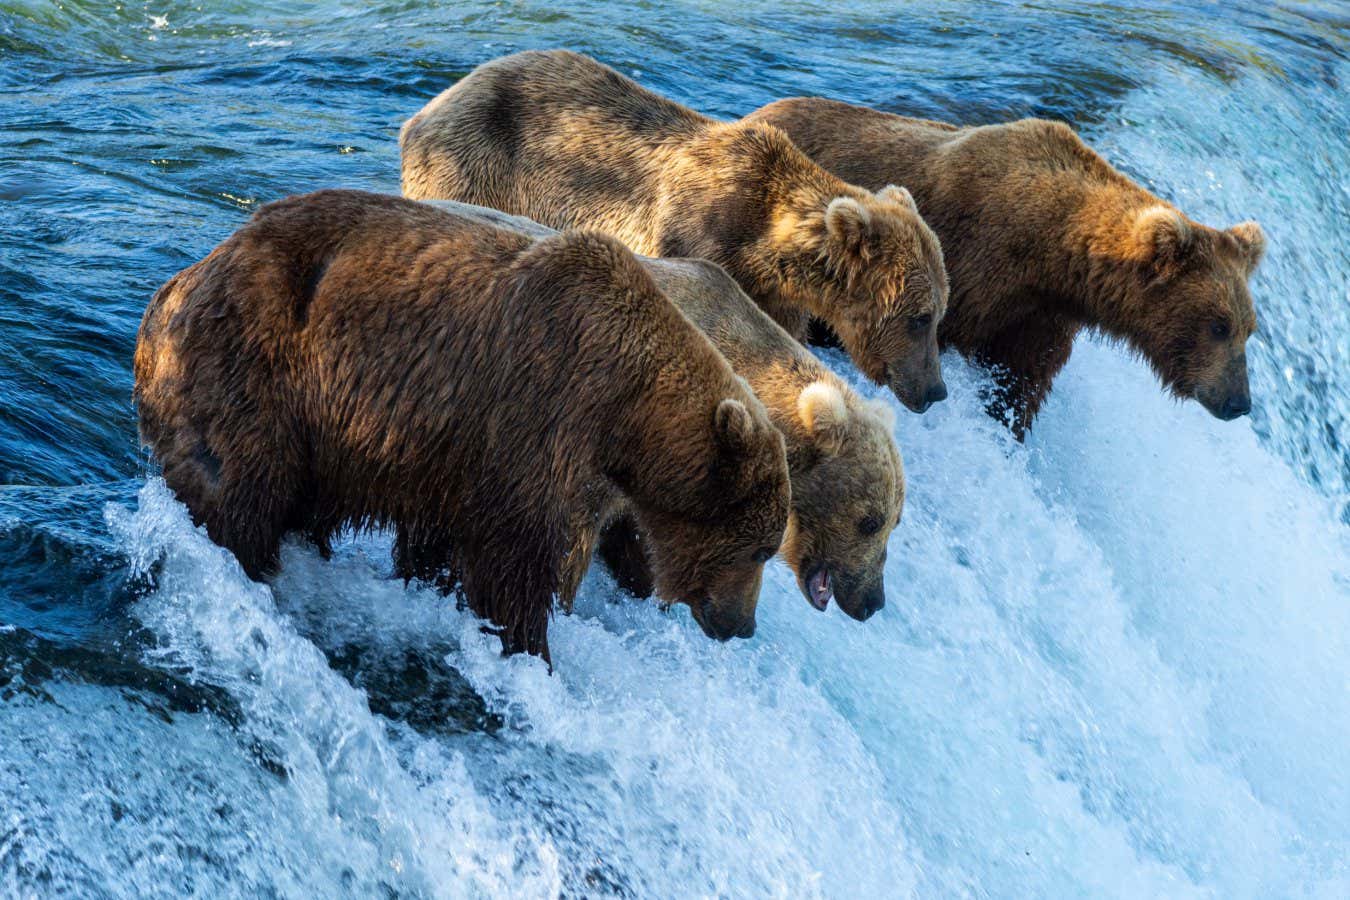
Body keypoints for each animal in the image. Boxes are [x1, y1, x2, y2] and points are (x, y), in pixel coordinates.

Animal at [134, 190, 791, 665]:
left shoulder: (452, 454)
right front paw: (529, 648)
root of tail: (173, 288)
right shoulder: (538, 416)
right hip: (254, 371)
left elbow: (442, 544)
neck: (625, 418)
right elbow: (516, 562)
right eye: (760, 547)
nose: (743, 625)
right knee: (240, 492)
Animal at [399, 49, 950, 415]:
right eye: (920, 318)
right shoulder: (694, 235)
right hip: (475, 166)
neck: (765, 245)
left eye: (940, 313)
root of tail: (427, 108)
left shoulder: (772, 295)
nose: (935, 391)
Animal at [746, 97, 1266, 437]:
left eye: (1249, 328)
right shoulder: (973, 266)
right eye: (1219, 325)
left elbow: (1022, 385)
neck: (1052, 255)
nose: (1239, 401)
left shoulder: (1040, 317)